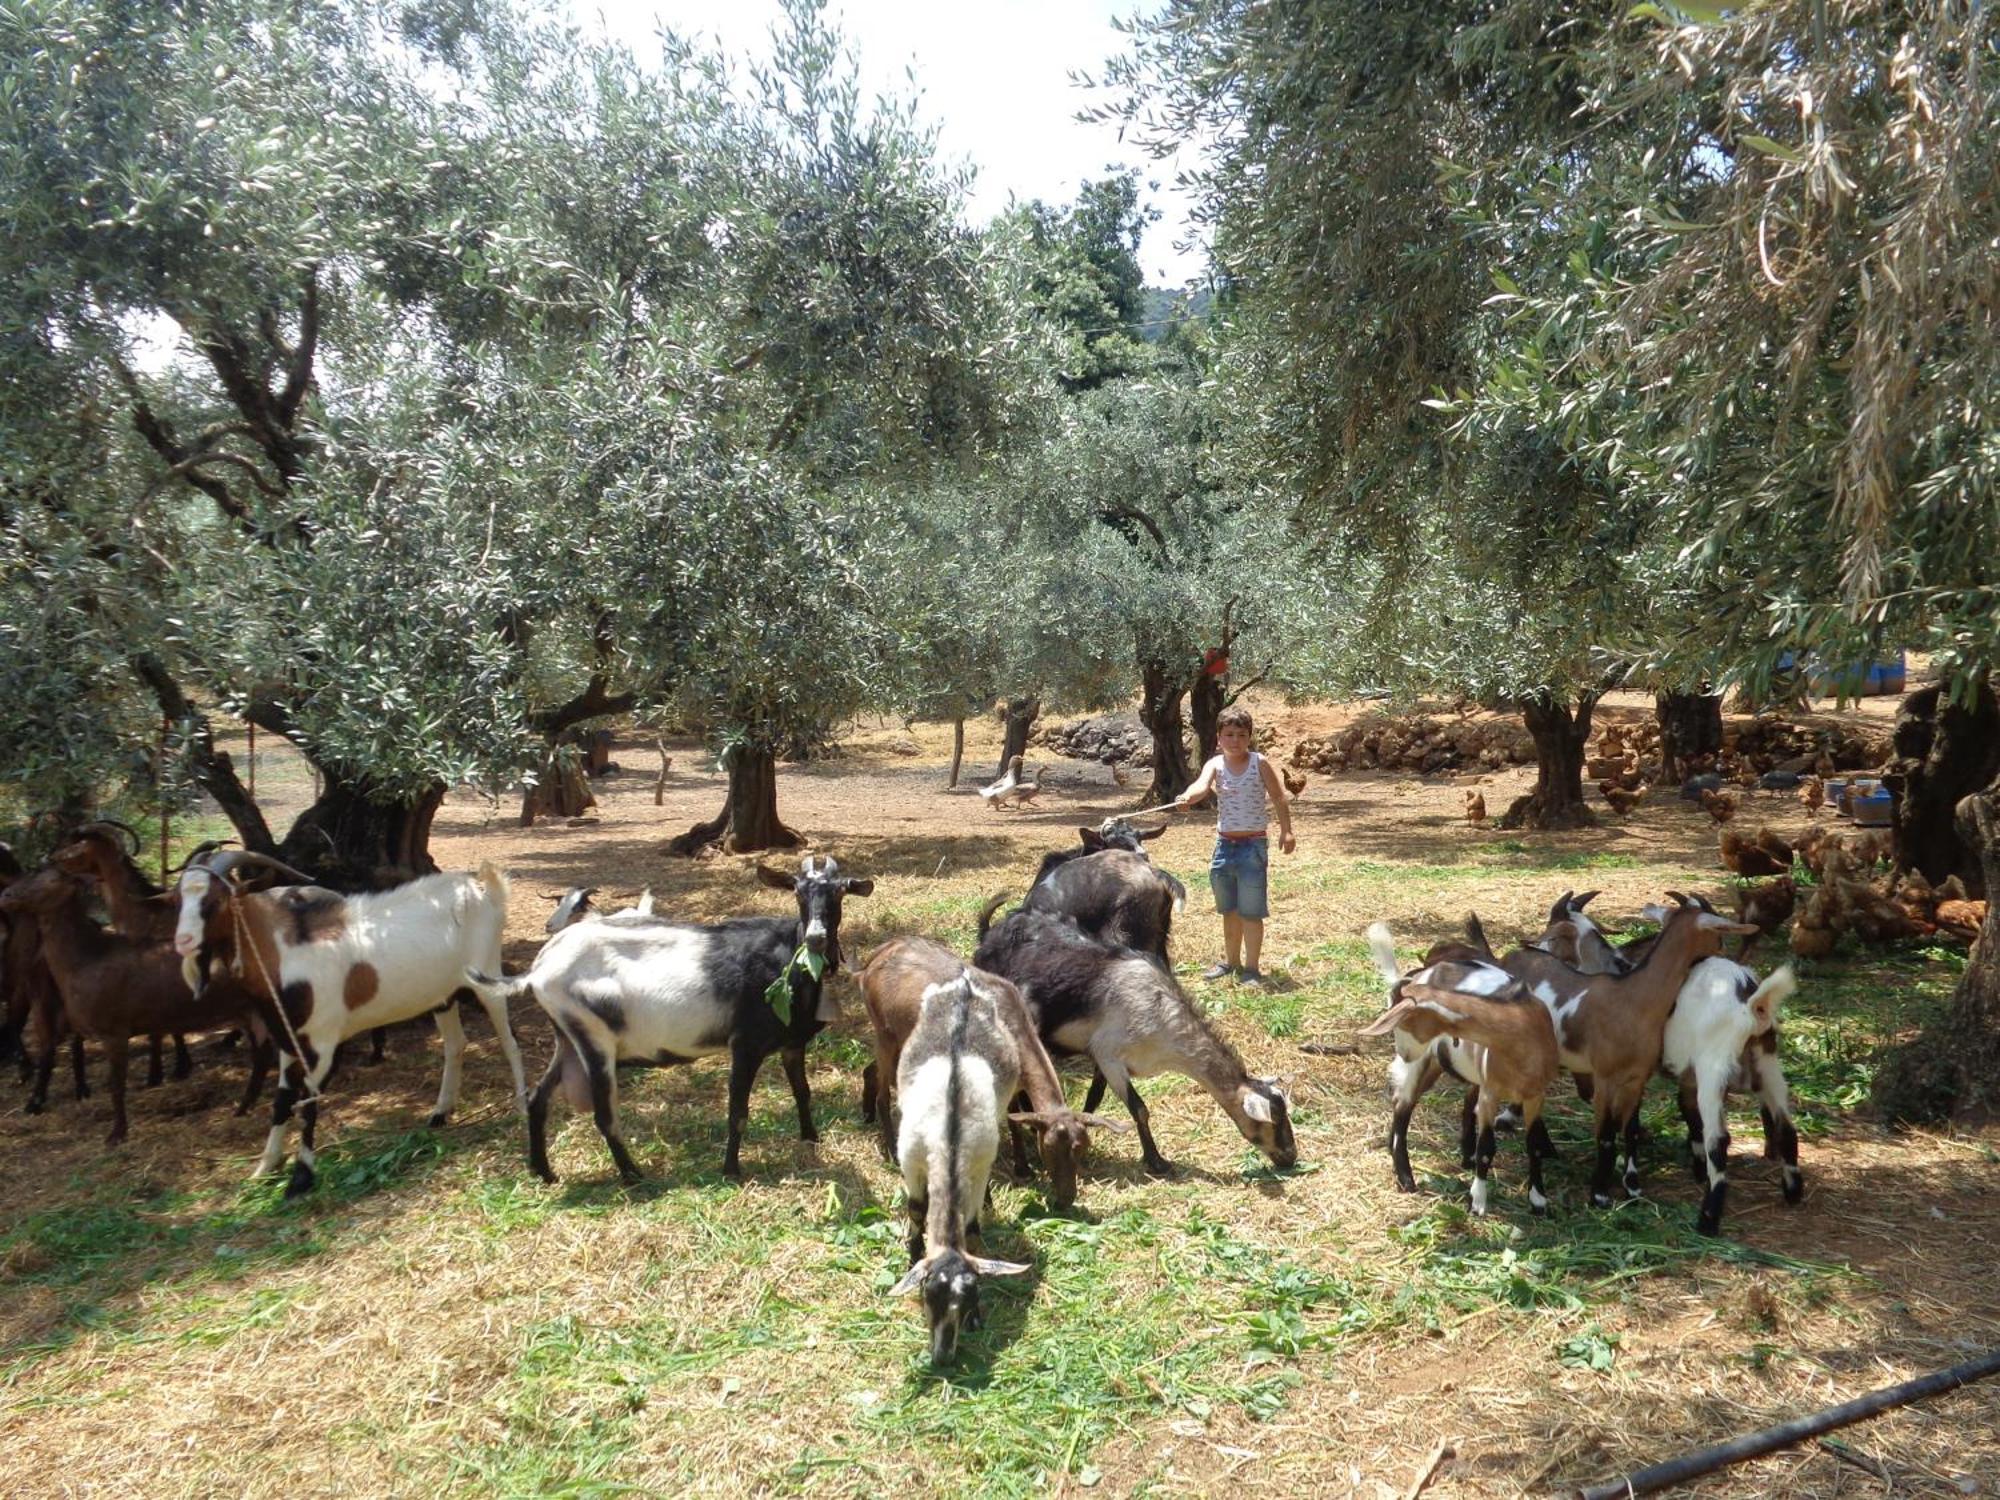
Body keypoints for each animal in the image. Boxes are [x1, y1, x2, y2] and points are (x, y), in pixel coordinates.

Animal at [472, 856, 880, 1184]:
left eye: (840, 893)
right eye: (796, 891)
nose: (816, 938)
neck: (788, 961)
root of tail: (539, 968)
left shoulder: (791, 1043)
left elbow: (803, 1092)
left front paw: (811, 1138)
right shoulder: (744, 1044)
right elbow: (738, 1110)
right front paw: (731, 1170)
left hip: (568, 1036)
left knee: (538, 1099)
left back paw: (544, 1172)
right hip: (593, 1037)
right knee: (604, 1115)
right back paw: (633, 1176)